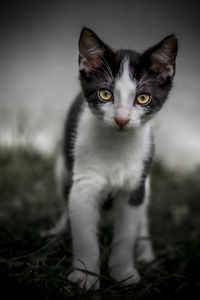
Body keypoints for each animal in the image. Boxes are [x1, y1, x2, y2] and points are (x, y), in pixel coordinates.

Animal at [49, 28, 177, 288]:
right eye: (105, 94)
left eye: (143, 98)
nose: (122, 119)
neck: (117, 144)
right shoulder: (84, 184)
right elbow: (85, 235)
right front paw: (85, 276)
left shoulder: (135, 185)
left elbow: (126, 233)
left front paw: (124, 272)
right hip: (63, 166)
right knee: (65, 196)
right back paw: (58, 231)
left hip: (146, 178)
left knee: (142, 215)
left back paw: (146, 253)